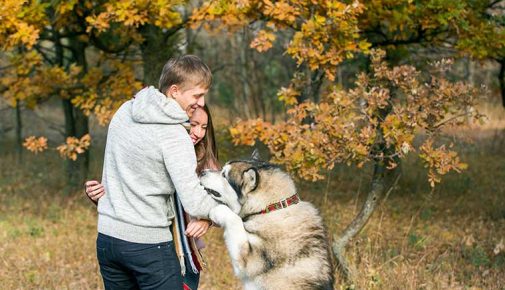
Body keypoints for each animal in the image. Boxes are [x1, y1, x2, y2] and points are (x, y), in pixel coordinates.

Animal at [199, 152, 332, 290]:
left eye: (224, 175)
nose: (202, 171)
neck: (271, 208)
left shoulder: (248, 260)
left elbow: (234, 220)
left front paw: (218, 211)